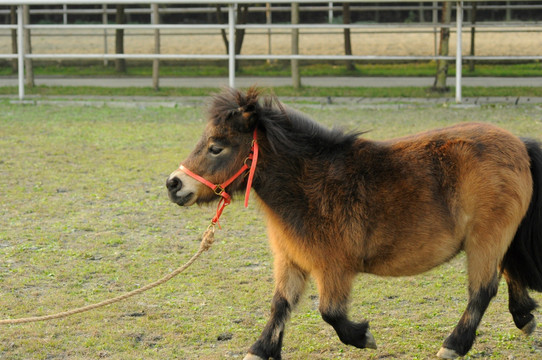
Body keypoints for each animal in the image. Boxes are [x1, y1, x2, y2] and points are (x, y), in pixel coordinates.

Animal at [167, 88, 542, 360]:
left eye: (216, 147)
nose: (174, 184)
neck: (309, 185)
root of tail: (518, 144)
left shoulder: (333, 268)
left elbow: (330, 312)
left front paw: (364, 337)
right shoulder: (291, 261)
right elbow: (280, 306)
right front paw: (260, 351)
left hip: (485, 240)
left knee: (483, 290)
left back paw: (454, 344)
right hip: (496, 239)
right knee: (509, 272)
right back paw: (523, 318)